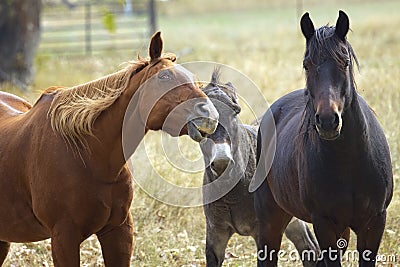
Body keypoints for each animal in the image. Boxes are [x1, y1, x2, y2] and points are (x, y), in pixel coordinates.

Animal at [255, 9, 392, 266]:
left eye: (345, 62)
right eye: (306, 64)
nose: (328, 121)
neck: (349, 161)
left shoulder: (374, 223)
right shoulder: (324, 224)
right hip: (271, 219)